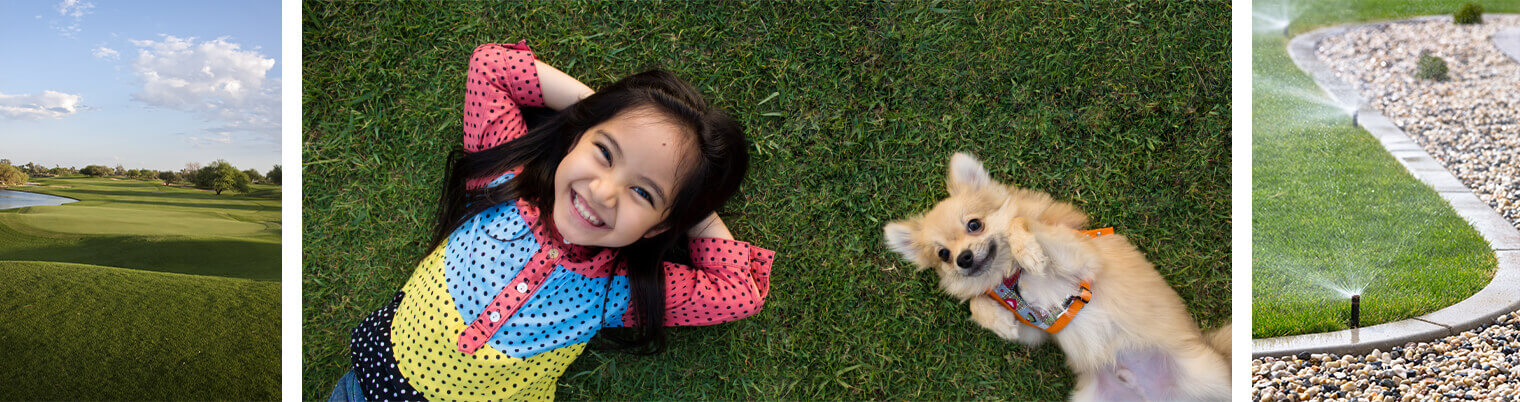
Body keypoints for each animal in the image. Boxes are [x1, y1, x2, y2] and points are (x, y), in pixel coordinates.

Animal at [887, 152, 1228, 398]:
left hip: (1209, 374)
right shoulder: (1037, 327)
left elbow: (1019, 221)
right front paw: (998, 321)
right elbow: (978, 302)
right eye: (943, 254)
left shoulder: (1085, 261)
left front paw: (1029, 252)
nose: (963, 258)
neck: (1011, 276)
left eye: (974, 225)